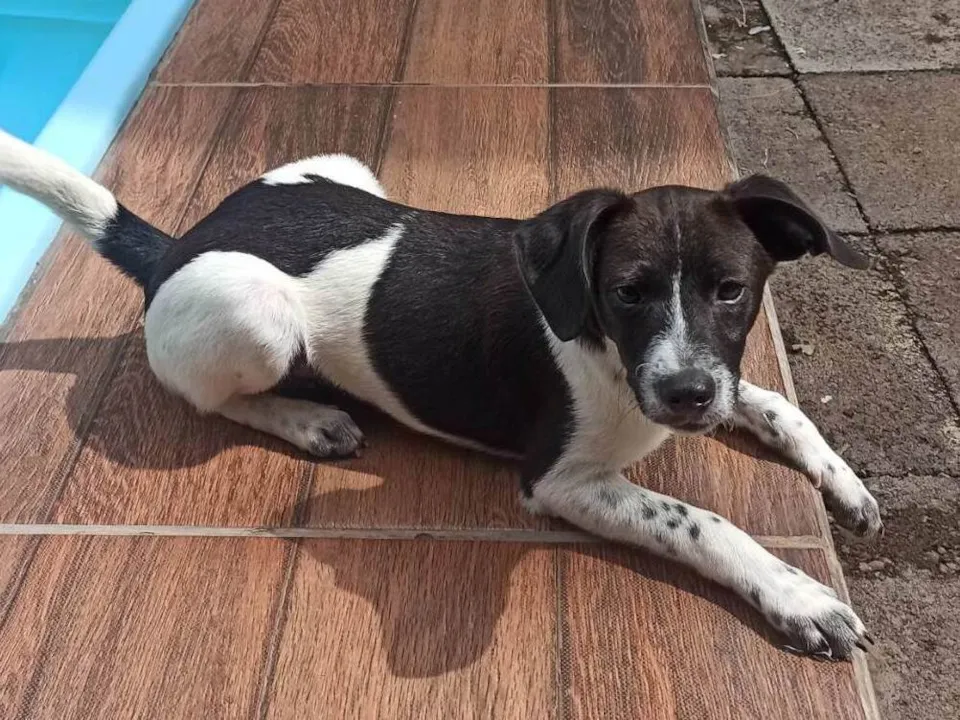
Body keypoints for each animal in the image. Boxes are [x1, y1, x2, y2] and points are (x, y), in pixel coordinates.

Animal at [0, 129, 881, 659]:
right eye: (626, 293)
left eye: (733, 291)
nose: (687, 395)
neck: (605, 347)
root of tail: (178, 243)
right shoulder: (558, 480)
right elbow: (703, 521)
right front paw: (797, 594)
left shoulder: (707, 379)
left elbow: (775, 404)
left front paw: (843, 481)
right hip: (254, 313)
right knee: (207, 397)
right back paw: (309, 416)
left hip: (342, 167)